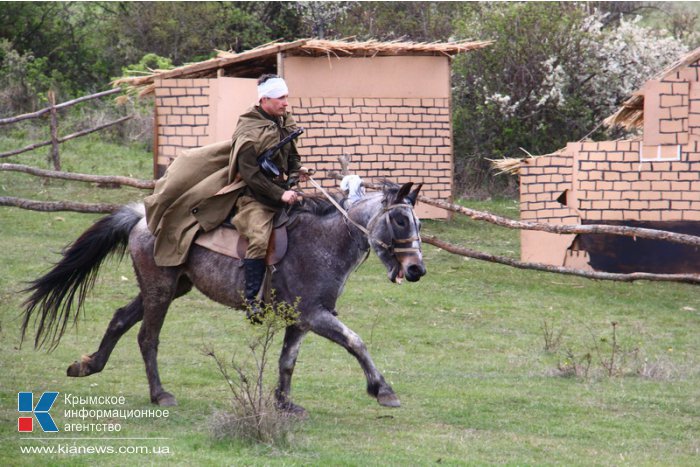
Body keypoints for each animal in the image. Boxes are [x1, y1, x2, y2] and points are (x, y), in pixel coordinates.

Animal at [20, 181, 426, 414]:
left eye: (418, 222)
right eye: (400, 221)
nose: (416, 270)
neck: (325, 241)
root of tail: (143, 216)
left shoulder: (302, 319)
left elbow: (287, 361)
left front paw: (284, 403)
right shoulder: (315, 315)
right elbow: (356, 342)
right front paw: (383, 390)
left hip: (169, 288)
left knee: (120, 318)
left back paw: (88, 364)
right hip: (160, 291)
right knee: (147, 338)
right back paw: (159, 394)